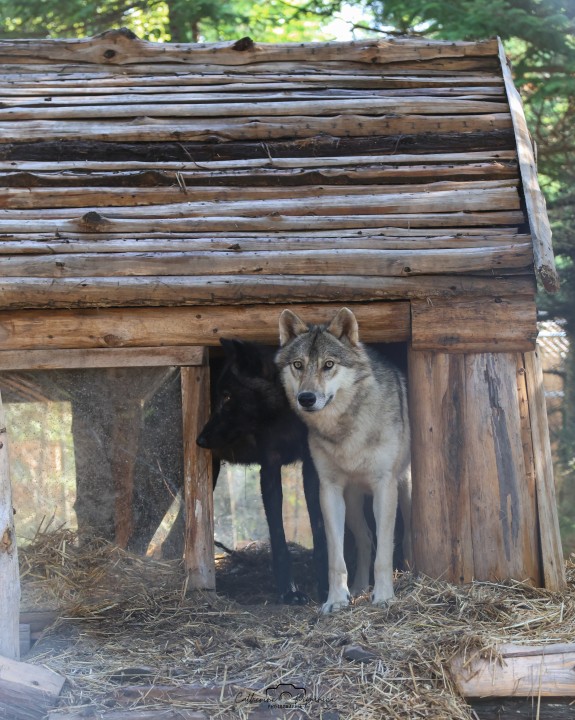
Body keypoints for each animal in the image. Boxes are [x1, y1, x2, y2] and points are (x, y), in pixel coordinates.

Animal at [197, 338, 328, 600]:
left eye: (227, 397)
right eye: (218, 396)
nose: (200, 440)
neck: (288, 419)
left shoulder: (311, 469)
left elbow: (319, 529)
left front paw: (325, 587)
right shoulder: (269, 468)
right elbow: (278, 535)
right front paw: (289, 592)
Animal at [274, 308, 410, 612]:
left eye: (328, 365)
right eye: (298, 365)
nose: (306, 398)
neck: (346, 430)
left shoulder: (385, 487)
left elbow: (385, 553)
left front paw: (384, 597)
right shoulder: (329, 490)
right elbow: (336, 558)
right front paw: (336, 600)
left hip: (405, 489)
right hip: (353, 501)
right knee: (365, 539)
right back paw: (359, 588)